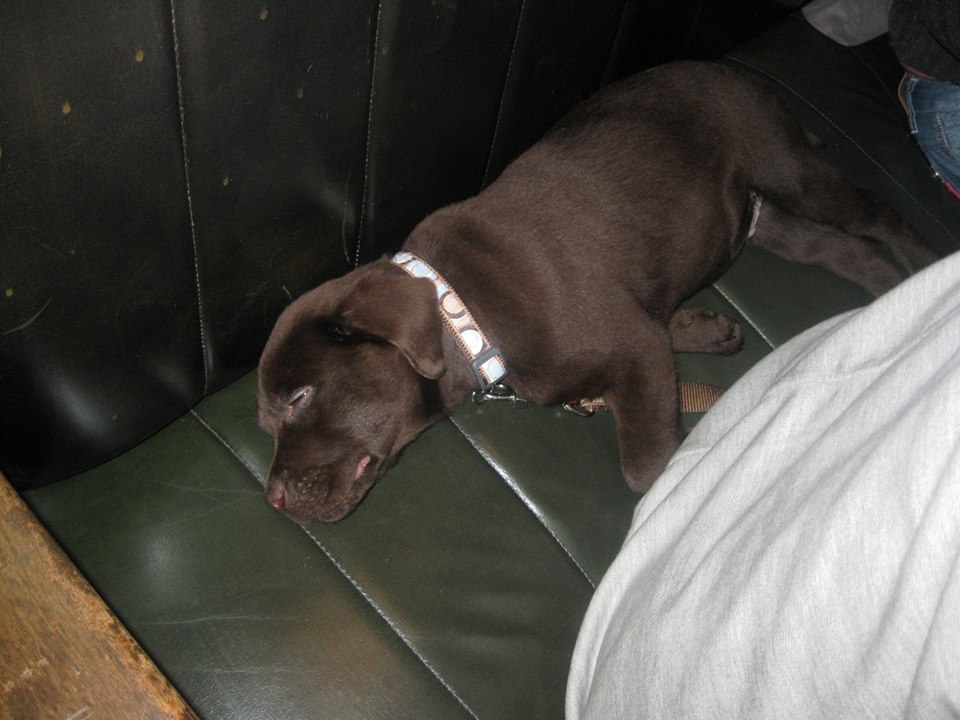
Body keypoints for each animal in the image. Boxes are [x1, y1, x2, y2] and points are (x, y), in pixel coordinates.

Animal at [257, 61, 939, 523]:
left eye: (300, 398)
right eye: (267, 423)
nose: (274, 499)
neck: (464, 319)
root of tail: (734, 68)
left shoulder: (634, 349)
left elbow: (645, 468)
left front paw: (688, 470)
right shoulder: (641, 331)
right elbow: (663, 327)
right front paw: (707, 331)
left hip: (789, 170)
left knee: (878, 215)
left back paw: (925, 265)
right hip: (767, 218)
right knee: (839, 250)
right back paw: (892, 292)